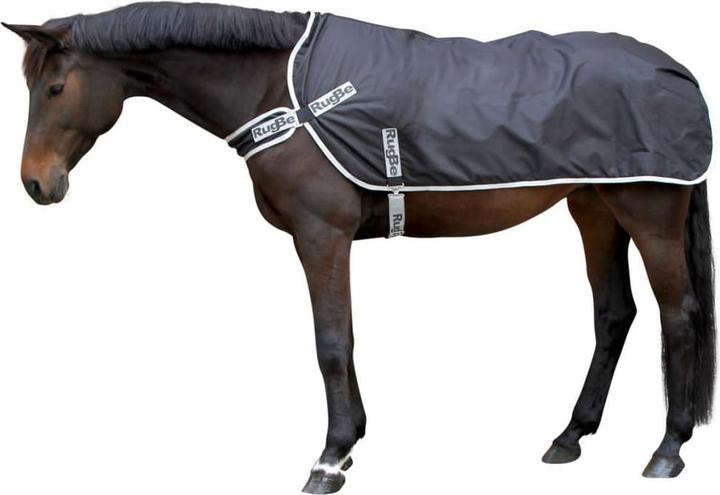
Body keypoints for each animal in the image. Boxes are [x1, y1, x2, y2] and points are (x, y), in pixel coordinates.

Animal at [3, 3, 715, 493]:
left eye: (55, 88)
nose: (37, 184)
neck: (280, 90)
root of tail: (675, 71)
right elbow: (341, 340)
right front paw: (352, 441)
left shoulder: (321, 235)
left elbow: (330, 343)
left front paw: (329, 457)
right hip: (593, 208)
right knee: (614, 314)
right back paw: (570, 436)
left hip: (648, 212)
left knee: (678, 316)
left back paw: (667, 451)